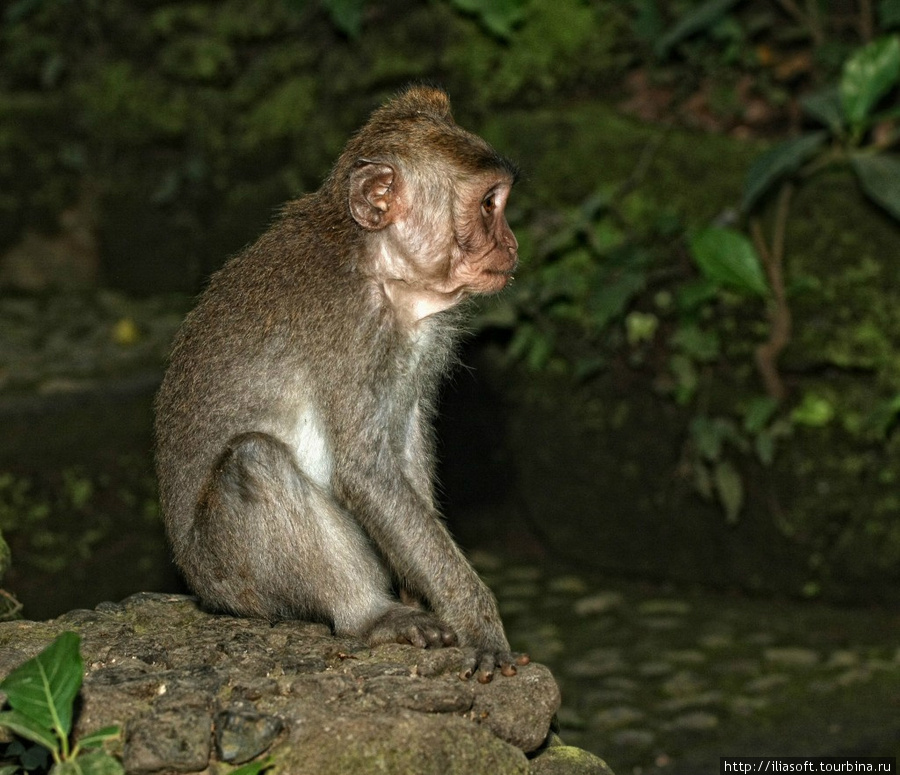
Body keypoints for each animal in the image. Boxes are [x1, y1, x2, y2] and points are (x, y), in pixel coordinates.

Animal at [154, 85, 528, 684]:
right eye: (489, 204)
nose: (512, 244)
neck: (385, 271)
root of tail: (199, 588)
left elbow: (402, 450)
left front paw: (424, 592)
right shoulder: (352, 331)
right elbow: (365, 474)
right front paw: (479, 622)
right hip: (236, 579)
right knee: (253, 462)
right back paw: (368, 616)